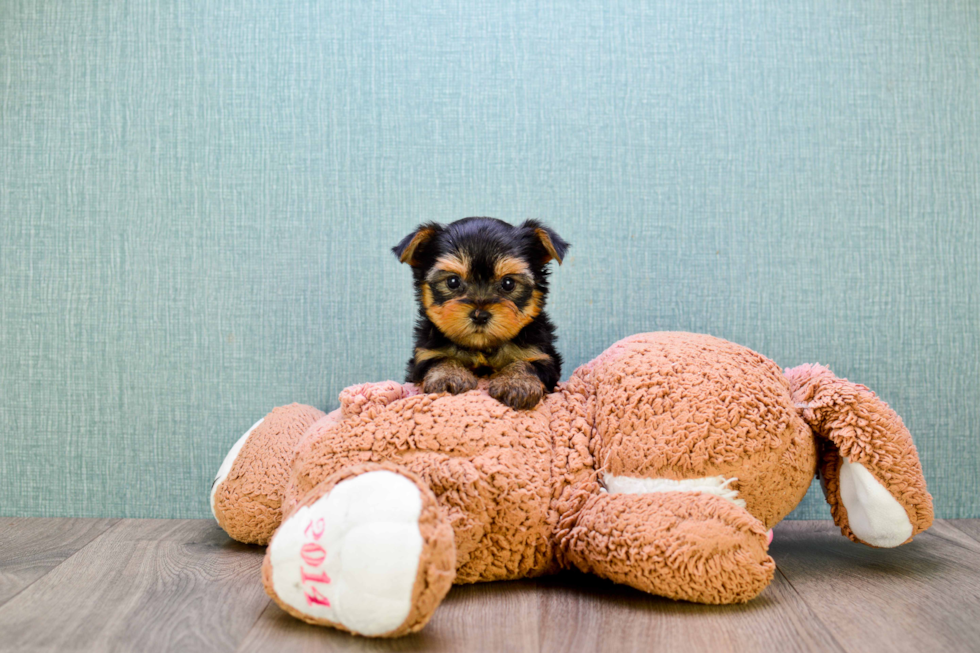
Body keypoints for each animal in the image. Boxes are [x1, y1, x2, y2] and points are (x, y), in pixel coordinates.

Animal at [394, 219, 572, 412]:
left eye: (508, 283)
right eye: (452, 281)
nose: (480, 315)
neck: (482, 347)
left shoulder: (542, 355)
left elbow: (528, 364)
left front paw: (517, 384)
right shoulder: (424, 354)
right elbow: (439, 359)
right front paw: (448, 376)